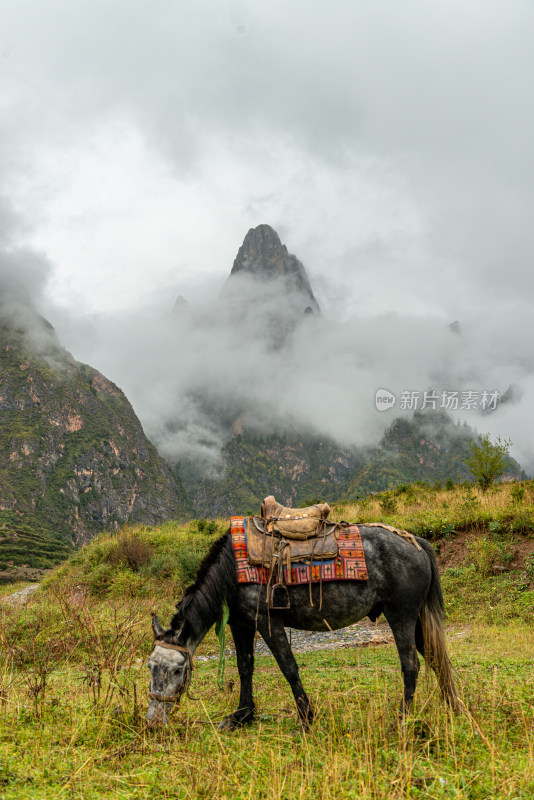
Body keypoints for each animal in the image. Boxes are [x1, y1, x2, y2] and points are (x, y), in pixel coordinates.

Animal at [148, 524, 460, 732]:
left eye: (178, 670)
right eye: (150, 667)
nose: (153, 721)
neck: (232, 571)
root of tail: (416, 542)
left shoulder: (267, 622)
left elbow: (289, 668)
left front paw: (306, 720)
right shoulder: (240, 624)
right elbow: (245, 668)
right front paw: (242, 716)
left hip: (401, 616)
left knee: (411, 665)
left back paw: (402, 719)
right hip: (416, 620)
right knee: (436, 659)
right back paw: (455, 708)